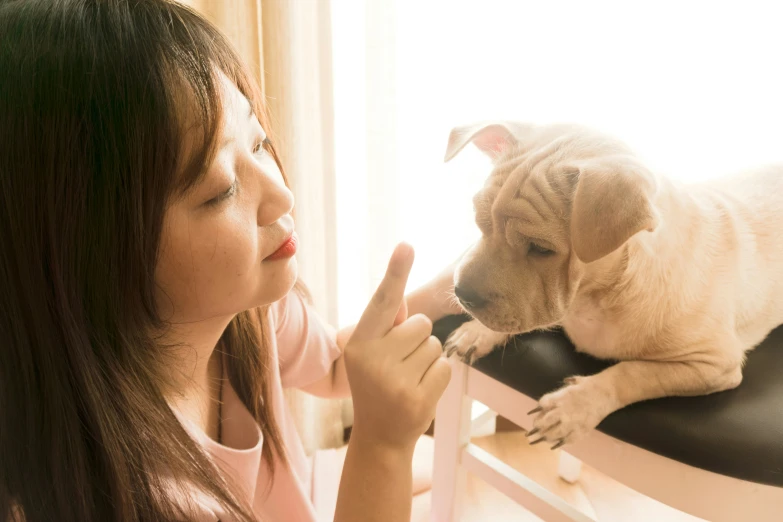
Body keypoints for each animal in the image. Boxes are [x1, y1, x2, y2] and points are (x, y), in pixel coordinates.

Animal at [444, 120, 783, 444]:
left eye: (541, 249)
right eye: (479, 223)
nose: (462, 294)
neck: (598, 295)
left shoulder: (712, 364)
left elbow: (634, 373)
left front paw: (574, 405)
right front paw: (478, 331)